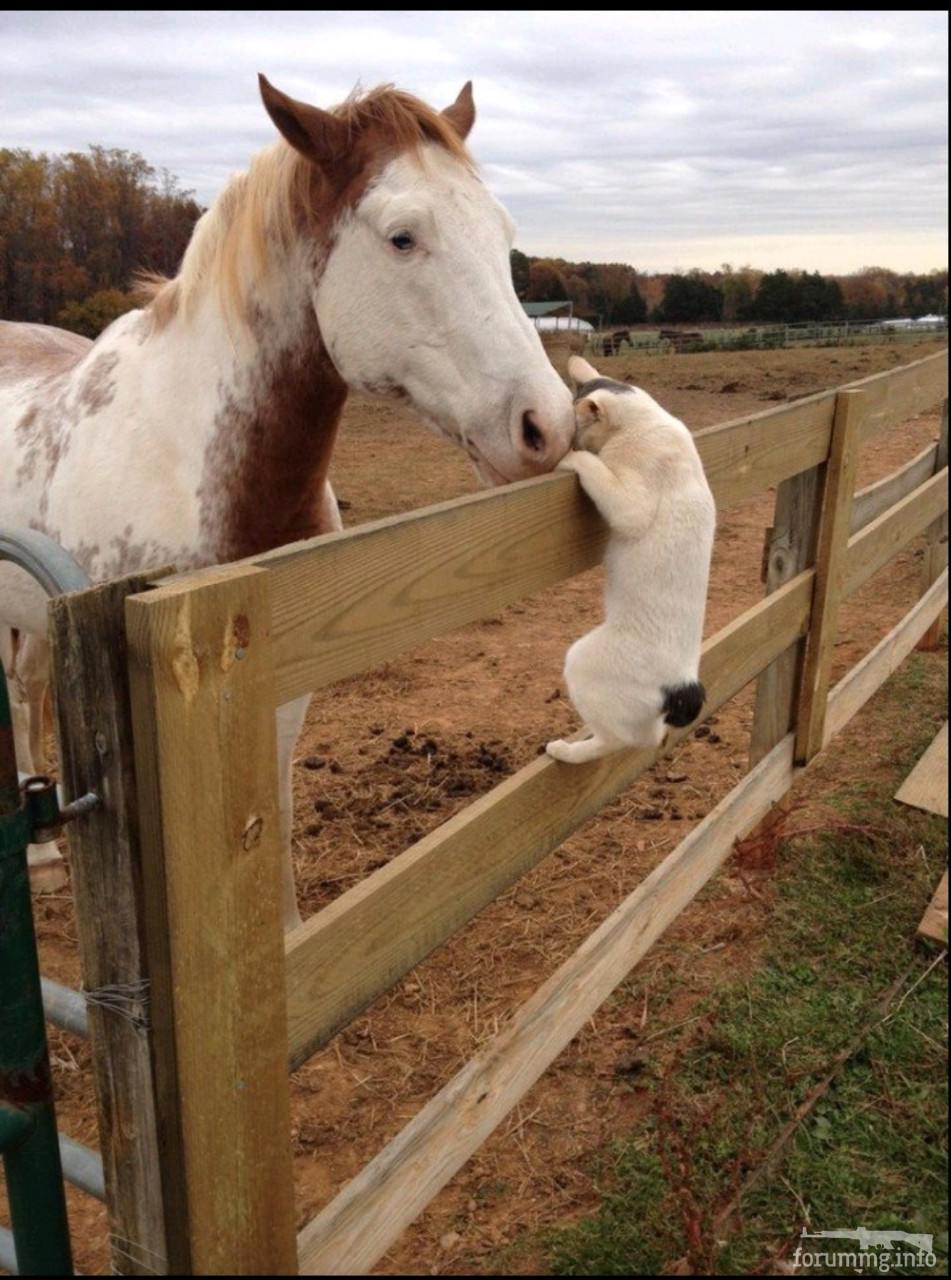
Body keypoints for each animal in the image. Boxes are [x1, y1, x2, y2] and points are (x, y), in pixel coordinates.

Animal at [0, 74, 575, 926]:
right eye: (402, 237)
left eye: (500, 232)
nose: (547, 425)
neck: (203, 468)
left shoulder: (281, 677)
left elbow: (269, 804)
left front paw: (287, 933)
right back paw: (39, 858)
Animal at [542, 355, 716, 762]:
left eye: (575, 430)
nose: (568, 444)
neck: (645, 420)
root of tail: (683, 684)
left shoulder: (631, 507)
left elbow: (594, 469)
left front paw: (572, 458)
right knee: (648, 737)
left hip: (581, 660)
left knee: (617, 741)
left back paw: (564, 750)